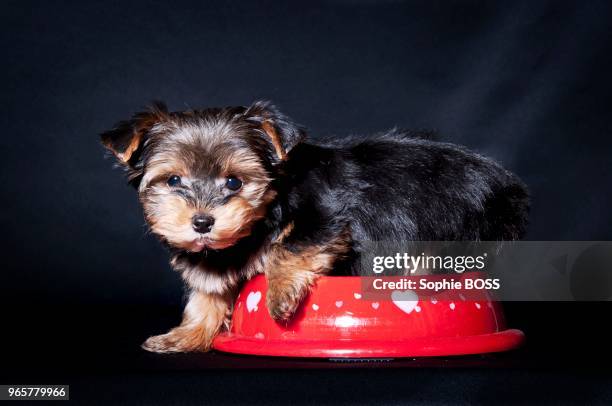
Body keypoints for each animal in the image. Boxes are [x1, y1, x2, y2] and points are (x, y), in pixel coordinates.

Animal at [100, 101, 524, 352]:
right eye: (173, 180)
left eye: (234, 182)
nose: (202, 222)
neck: (266, 210)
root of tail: (507, 186)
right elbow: (208, 289)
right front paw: (187, 333)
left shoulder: (326, 216)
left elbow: (289, 246)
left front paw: (279, 297)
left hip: (452, 220)